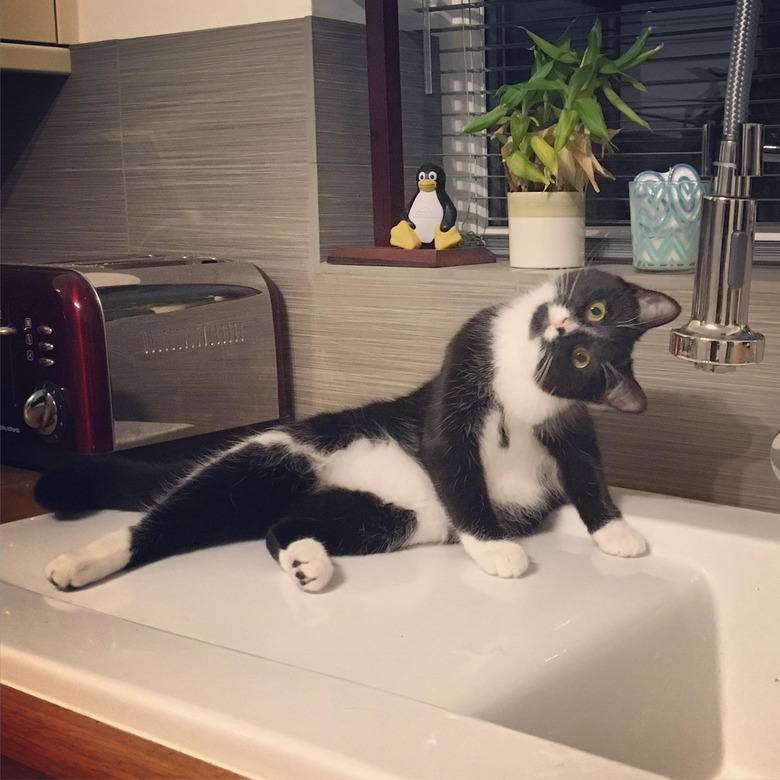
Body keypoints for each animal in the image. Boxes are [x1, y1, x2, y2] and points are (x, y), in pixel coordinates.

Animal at [36, 268, 680, 592]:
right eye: (596, 310)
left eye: (582, 360)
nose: (562, 325)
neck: (520, 373)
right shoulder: (457, 386)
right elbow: (458, 469)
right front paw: (497, 547)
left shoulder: (568, 426)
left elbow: (587, 473)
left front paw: (616, 533)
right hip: (278, 455)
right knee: (174, 514)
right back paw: (82, 562)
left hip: (392, 516)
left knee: (279, 524)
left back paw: (307, 562)